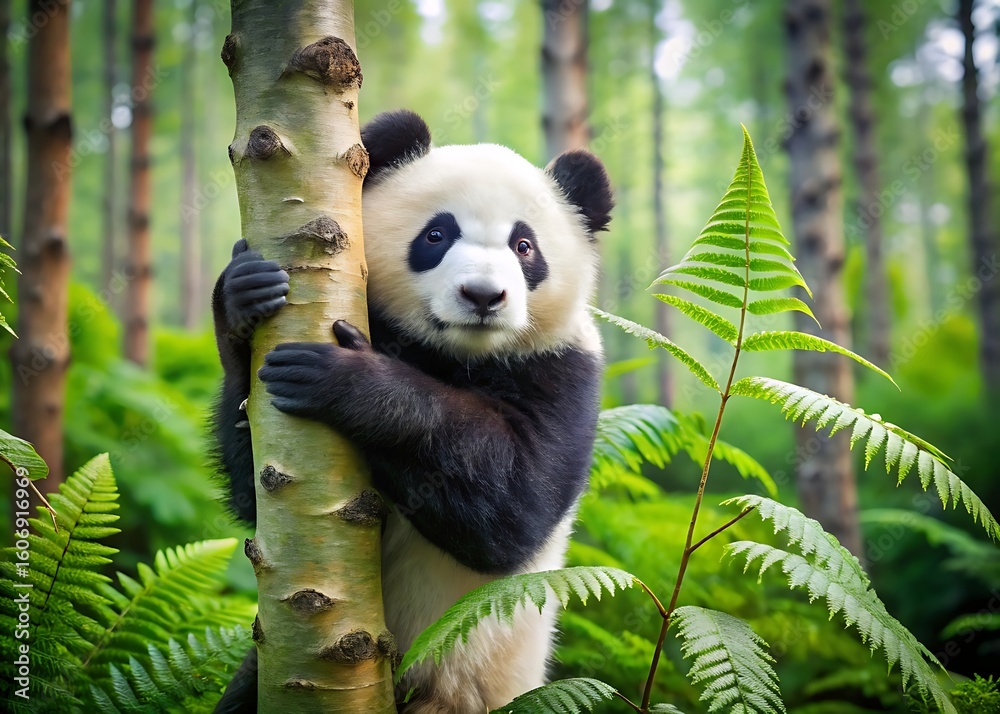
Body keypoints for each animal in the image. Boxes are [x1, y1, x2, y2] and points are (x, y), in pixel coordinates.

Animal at [211, 109, 613, 713]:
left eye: (524, 246)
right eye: (436, 235)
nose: (482, 296)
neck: (455, 354)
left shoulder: (565, 371)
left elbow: (514, 506)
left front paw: (349, 381)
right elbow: (254, 493)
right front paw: (242, 292)